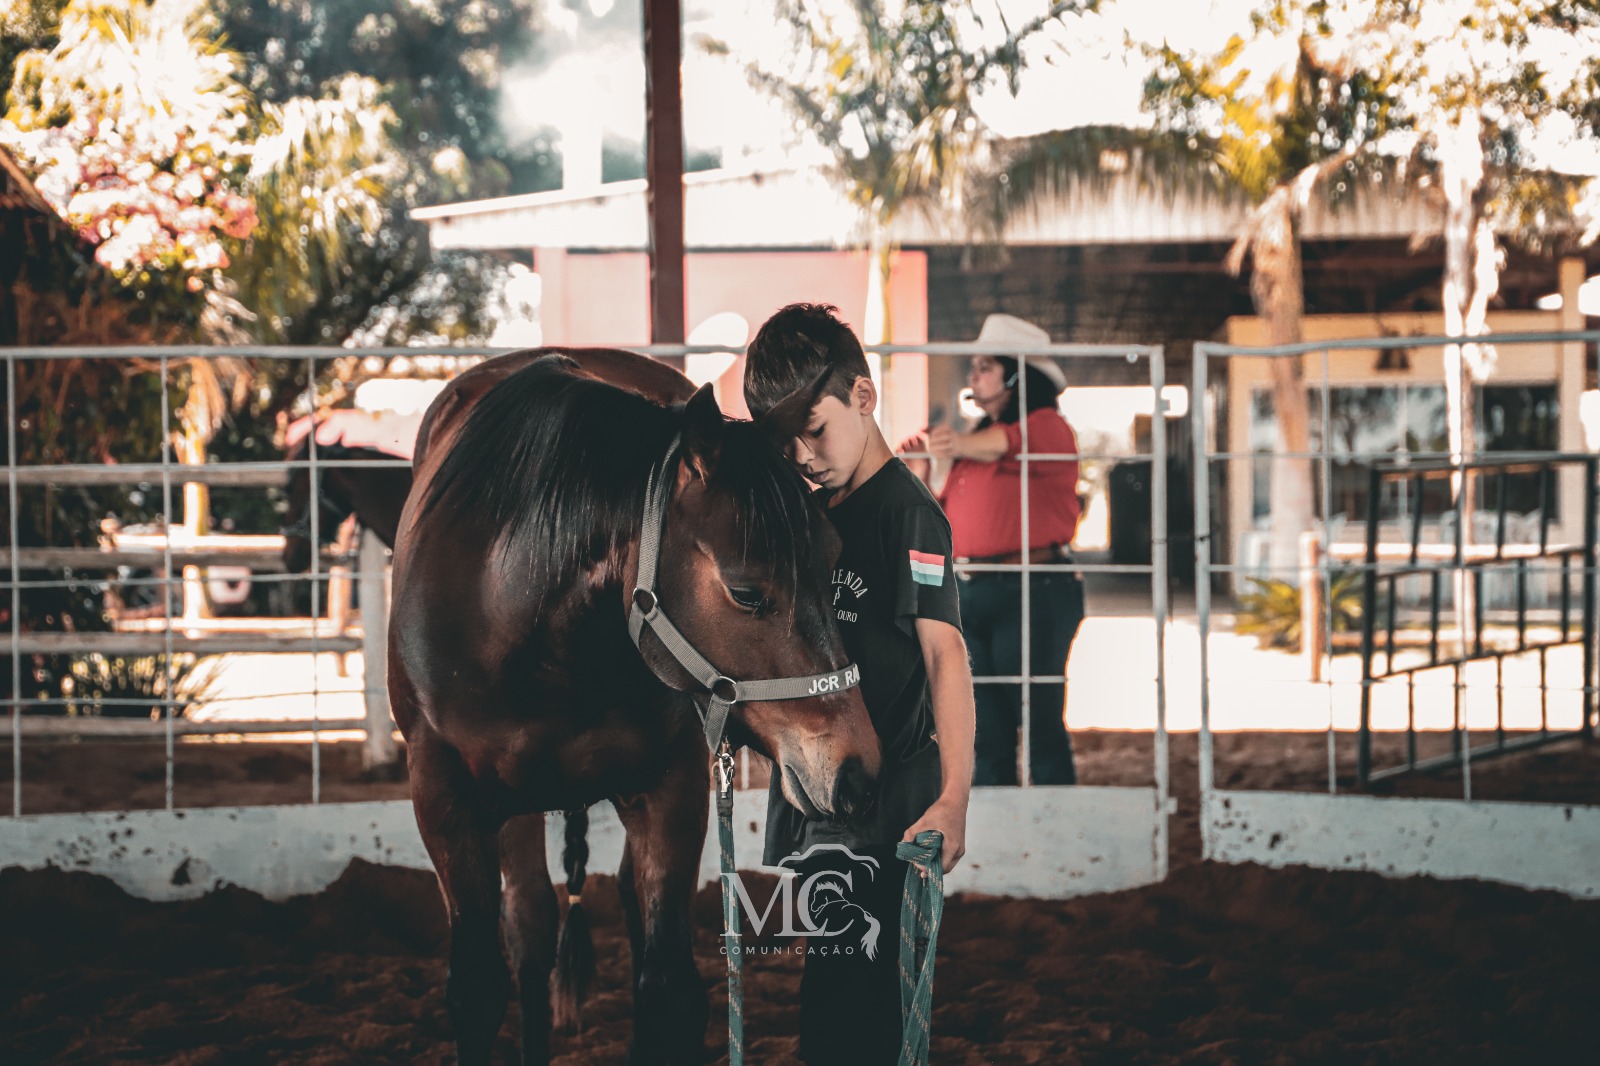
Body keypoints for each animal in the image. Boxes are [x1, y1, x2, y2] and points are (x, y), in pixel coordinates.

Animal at [392, 348, 883, 1062]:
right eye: (745, 592)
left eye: (833, 561)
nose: (857, 770)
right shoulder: (442, 795)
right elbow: (477, 989)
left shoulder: (669, 788)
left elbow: (667, 988)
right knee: (531, 926)